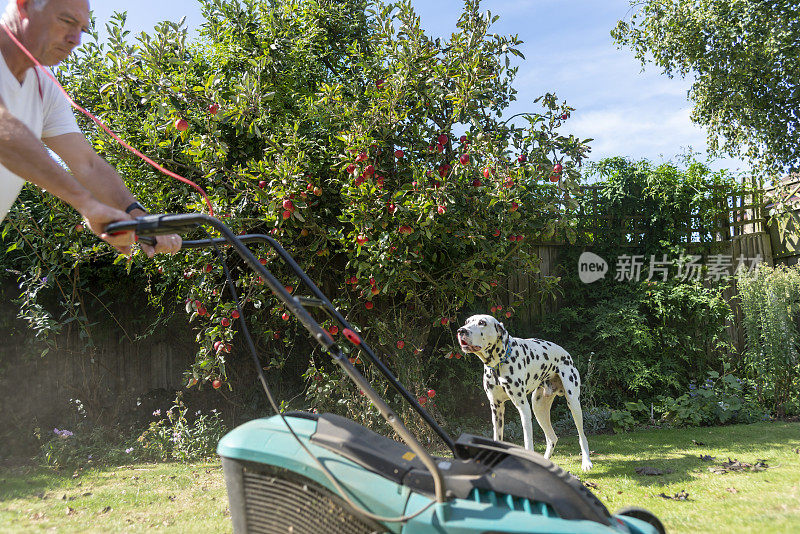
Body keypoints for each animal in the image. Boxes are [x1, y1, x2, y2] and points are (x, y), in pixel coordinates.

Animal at [456, 316, 592, 472]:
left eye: (482, 323)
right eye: (467, 322)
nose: (461, 331)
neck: (498, 364)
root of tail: (566, 354)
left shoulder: (523, 408)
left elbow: (528, 442)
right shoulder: (496, 409)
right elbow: (497, 438)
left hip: (573, 404)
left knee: (582, 436)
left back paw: (586, 462)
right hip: (538, 408)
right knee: (552, 438)